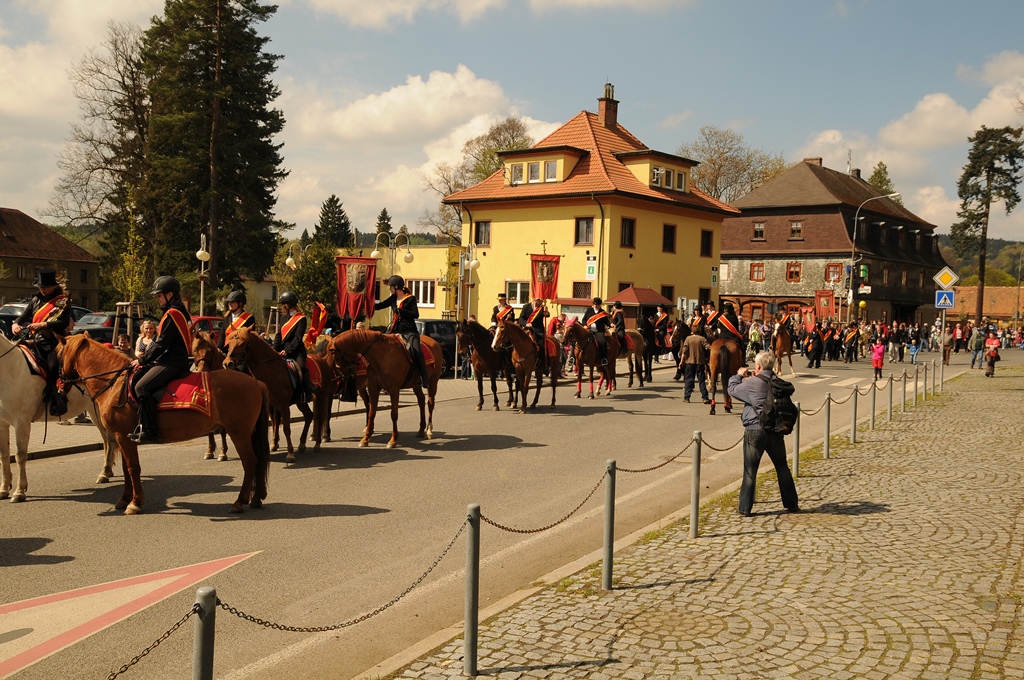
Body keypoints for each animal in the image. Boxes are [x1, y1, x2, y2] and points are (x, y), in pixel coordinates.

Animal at [0, 331, 117, 501]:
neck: (11, 370)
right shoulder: (2, 423)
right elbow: (4, 455)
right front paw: (4, 489)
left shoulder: (22, 422)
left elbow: (20, 455)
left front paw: (19, 491)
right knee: (107, 441)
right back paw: (106, 471)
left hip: (98, 411)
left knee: (110, 440)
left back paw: (105, 473)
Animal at [190, 329, 228, 462]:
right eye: (195, 350)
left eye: (210, 351)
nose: (202, 370)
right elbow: (209, 430)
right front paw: (210, 450)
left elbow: (222, 430)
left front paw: (223, 453)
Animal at [224, 327, 327, 464]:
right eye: (229, 343)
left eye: (242, 343)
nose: (227, 363)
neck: (271, 369)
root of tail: (322, 360)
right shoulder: (271, 405)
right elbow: (273, 424)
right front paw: (272, 446)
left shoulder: (283, 405)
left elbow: (286, 428)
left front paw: (290, 454)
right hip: (301, 401)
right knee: (309, 415)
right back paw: (301, 445)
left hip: (321, 396)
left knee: (319, 417)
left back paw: (317, 444)